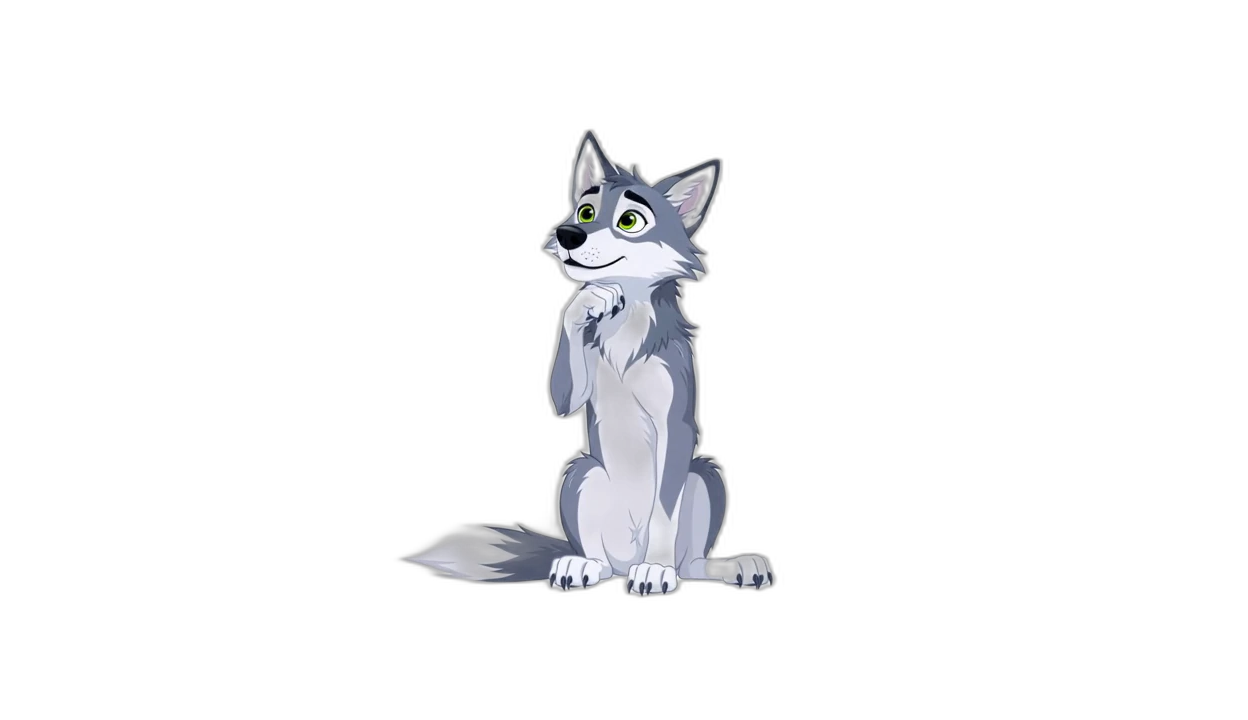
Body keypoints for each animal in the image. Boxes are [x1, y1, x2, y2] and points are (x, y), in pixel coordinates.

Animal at [404, 131, 774, 595]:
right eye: (585, 211)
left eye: (630, 221)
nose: (568, 234)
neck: (625, 322)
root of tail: (623, 562)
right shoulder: (569, 394)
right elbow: (565, 382)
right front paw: (590, 300)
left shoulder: (677, 425)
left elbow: (664, 514)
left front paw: (656, 569)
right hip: (580, 473)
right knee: (599, 557)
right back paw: (579, 566)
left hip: (705, 474)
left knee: (690, 565)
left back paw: (731, 566)